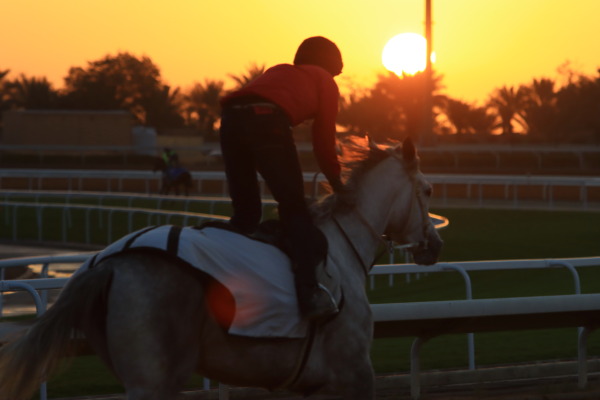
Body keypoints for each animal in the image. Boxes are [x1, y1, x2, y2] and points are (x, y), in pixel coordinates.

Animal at [0, 137, 440, 396]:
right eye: (429, 189)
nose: (435, 244)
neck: (342, 246)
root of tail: (107, 264)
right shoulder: (354, 370)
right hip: (155, 378)